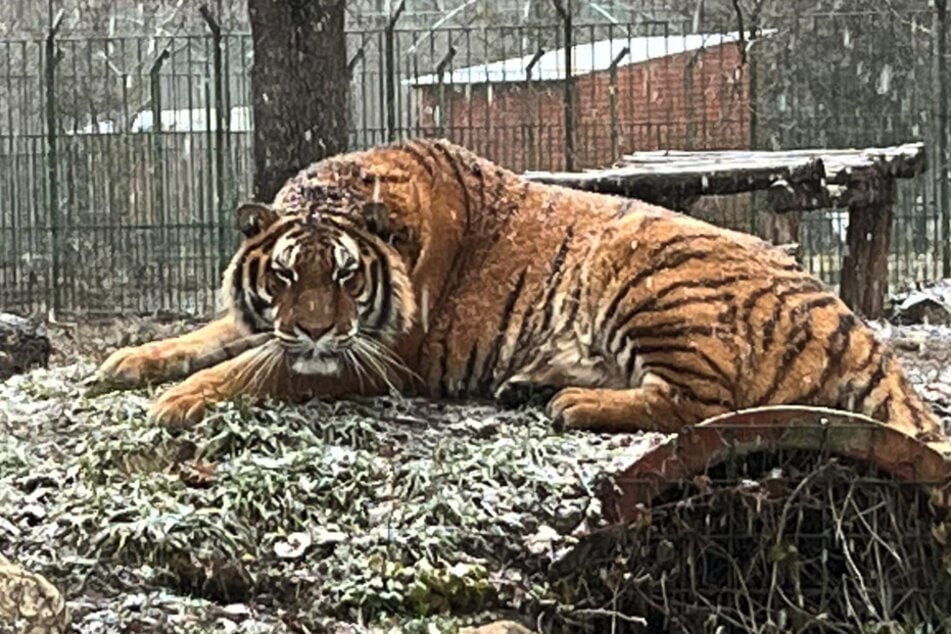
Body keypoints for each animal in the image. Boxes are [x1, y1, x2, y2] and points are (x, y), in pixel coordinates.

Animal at [93, 136, 940, 440]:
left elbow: (254, 368)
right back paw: (533, 385)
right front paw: (129, 362)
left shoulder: (380, 358)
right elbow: (214, 336)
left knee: (706, 404)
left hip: (646, 272)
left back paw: (572, 403)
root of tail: (854, 326)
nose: (312, 330)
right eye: (283, 274)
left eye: (345, 277)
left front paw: (177, 399)